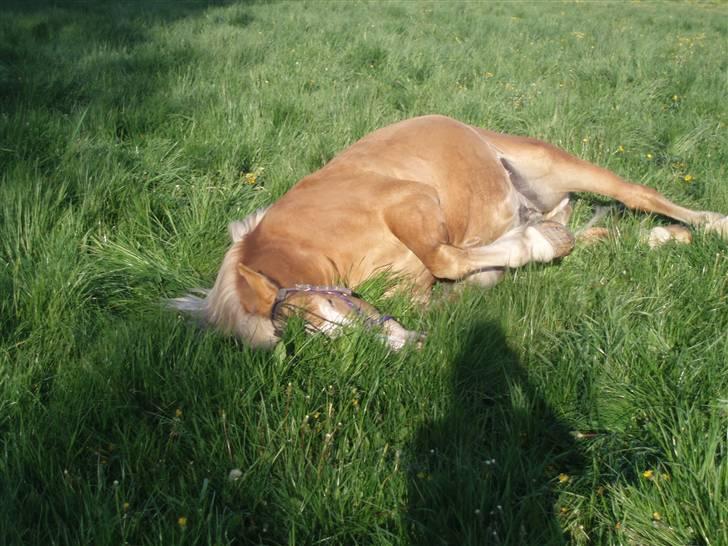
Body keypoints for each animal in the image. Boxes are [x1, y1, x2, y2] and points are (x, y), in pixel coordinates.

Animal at [172, 117, 728, 350]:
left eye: (317, 310)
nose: (405, 347)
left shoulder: (412, 203)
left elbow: (444, 255)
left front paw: (533, 245)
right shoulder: (422, 290)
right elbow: (461, 274)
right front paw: (535, 248)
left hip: (566, 167)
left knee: (641, 195)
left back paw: (711, 225)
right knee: (605, 236)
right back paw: (655, 239)